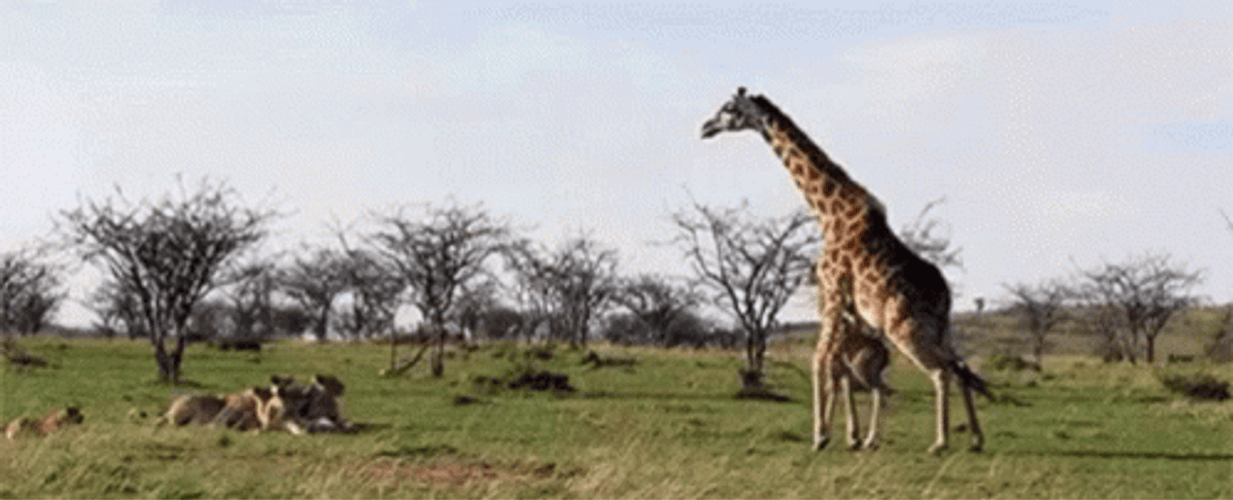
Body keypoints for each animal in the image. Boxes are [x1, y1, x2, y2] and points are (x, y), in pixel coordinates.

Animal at [701, 87, 990, 453]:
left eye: (728, 109)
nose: (705, 127)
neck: (829, 214)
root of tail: (946, 295)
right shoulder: (847, 307)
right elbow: (837, 366)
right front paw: (850, 436)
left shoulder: (832, 293)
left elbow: (819, 360)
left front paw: (821, 436)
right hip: (939, 329)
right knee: (961, 366)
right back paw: (976, 439)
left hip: (903, 327)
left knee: (941, 371)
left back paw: (940, 442)